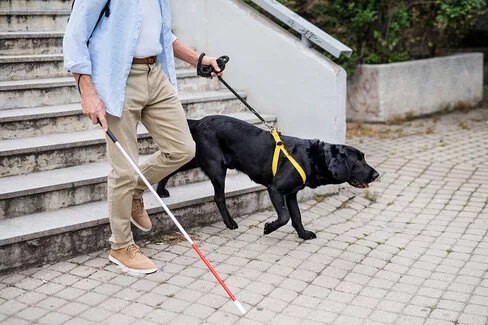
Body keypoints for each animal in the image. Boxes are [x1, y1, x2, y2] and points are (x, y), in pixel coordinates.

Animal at [158, 115, 380, 239]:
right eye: (358, 161)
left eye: (363, 158)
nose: (376, 174)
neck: (312, 157)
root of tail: (200, 121)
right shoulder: (275, 189)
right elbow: (284, 216)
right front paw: (268, 228)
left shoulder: (291, 194)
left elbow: (296, 216)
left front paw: (303, 235)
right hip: (217, 167)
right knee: (219, 197)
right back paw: (230, 223)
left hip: (196, 157)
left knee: (174, 165)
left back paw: (160, 189)